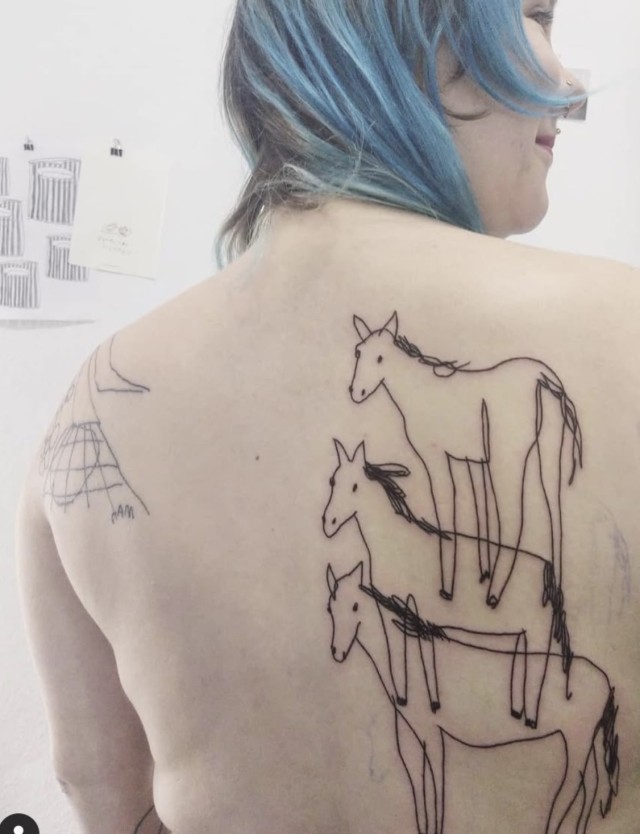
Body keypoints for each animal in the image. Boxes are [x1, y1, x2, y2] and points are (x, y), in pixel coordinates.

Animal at [322, 439, 571, 728]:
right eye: (332, 481)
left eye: (354, 487)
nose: (328, 524)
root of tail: (548, 571)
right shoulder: (410, 611)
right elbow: (417, 654)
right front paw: (422, 701)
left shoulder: (406, 607)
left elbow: (408, 654)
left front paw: (415, 701)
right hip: (523, 633)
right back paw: (516, 712)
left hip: (538, 633)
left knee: (538, 671)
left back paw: (530, 720)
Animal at [326, 562, 619, 834]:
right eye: (330, 609)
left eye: (355, 607)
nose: (337, 653)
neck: (407, 660)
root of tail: (606, 680)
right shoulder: (408, 738)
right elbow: (420, 794)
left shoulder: (432, 734)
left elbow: (436, 790)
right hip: (589, 741)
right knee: (591, 784)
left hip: (577, 741)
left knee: (573, 785)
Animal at [349, 312, 582, 609]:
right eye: (358, 352)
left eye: (380, 358)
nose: (356, 393)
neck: (418, 393)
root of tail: (543, 377)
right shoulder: (466, 459)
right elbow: (474, 509)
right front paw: (482, 571)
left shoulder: (436, 457)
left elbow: (447, 511)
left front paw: (448, 588)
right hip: (550, 449)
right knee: (555, 511)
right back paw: (554, 597)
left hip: (508, 457)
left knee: (515, 519)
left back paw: (494, 595)